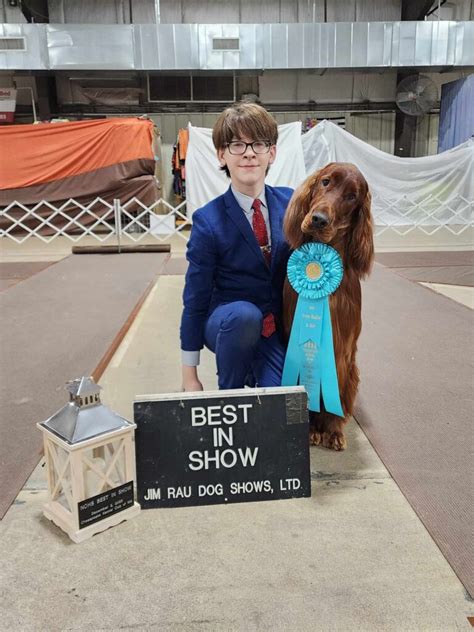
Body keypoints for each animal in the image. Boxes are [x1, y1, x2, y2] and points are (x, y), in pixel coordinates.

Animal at [284, 162, 372, 450]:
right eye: (325, 181)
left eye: (352, 196)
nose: (319, 219)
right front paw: (312, 428)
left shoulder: (342, 351)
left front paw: (331, 430)